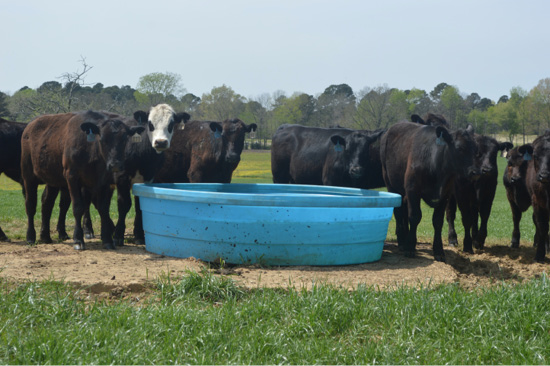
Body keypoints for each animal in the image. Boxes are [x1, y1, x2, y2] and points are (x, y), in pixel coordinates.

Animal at [382, 121, 480, 262]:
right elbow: (415, 216)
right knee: (399, 212)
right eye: (459, 148)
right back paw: (401, 242)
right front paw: (410, 247)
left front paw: (438, 250)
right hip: (391, 184)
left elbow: (438, 221)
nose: (476, 172)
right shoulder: (412, 190)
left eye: (476, 149)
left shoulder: (445, 194)